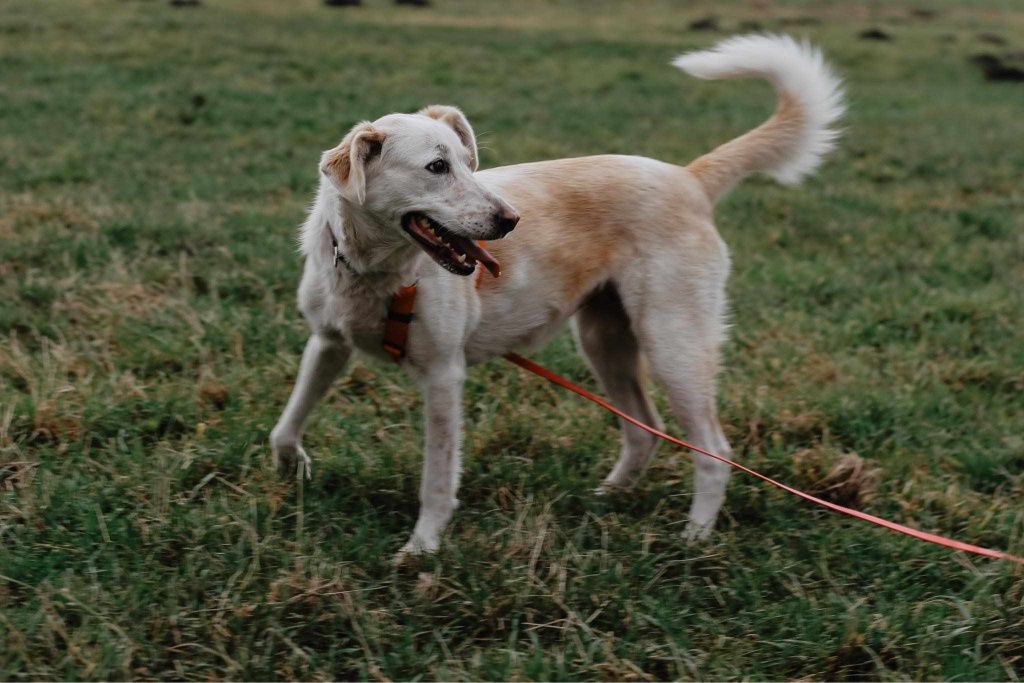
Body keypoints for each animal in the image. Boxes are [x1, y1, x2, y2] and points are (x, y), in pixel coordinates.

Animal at [268, 33, 843, 561]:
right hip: (604, 340)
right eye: (436, 167)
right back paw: (608, 498)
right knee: (646, 431)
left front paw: (422, 548)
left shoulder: (443, 376)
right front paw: (293, 470)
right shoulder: (327, 343)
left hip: (673, 344)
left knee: (713, 450)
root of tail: (689, 177)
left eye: (468, 164)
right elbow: (285, 427)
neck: (375, 273)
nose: (510, 220)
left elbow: (437, 479)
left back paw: (695, 536)